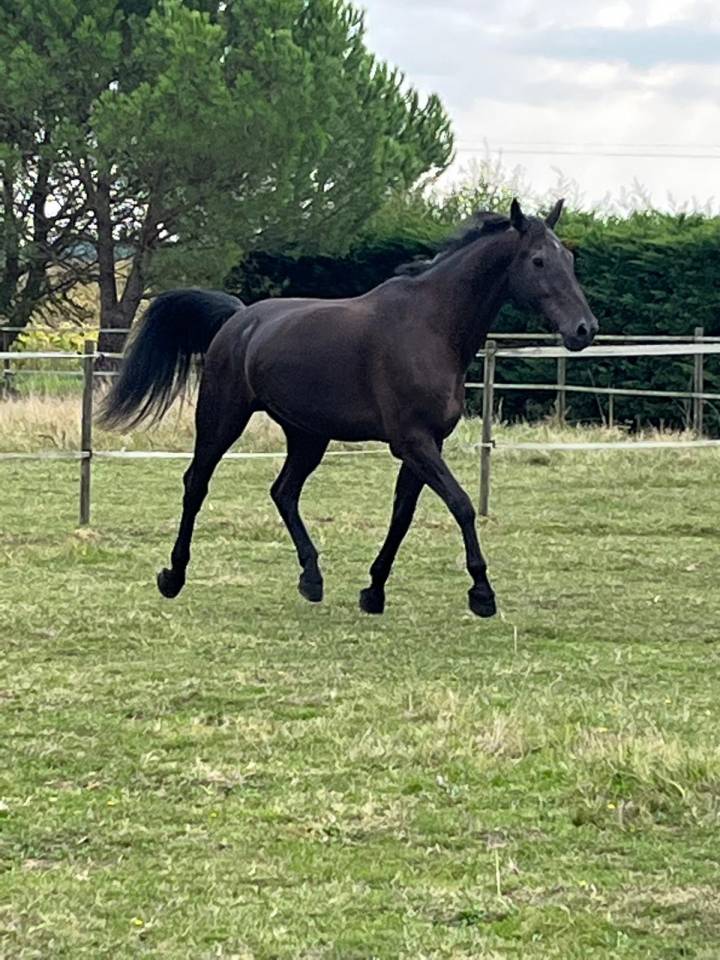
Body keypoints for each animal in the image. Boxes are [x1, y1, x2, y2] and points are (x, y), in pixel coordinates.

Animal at [99, 198, 598, 618]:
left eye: (571, 261)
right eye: (538, 260)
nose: (584, 329)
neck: (431, 327)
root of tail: (239, 318)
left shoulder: (425, 445)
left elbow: (402, 515)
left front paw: (373, 591)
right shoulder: (413, 442)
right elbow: (461, 504)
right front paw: (481, 593)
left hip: (308, 436)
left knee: (283, 491)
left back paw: (311, 578)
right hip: (222, 419)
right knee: (196, 484)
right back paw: (173, 575)